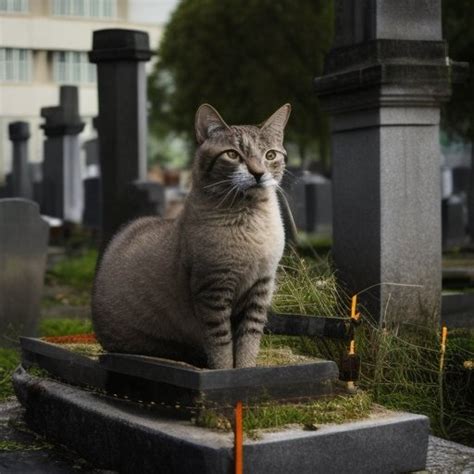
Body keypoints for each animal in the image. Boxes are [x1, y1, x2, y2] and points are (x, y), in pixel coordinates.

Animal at [90, 103, 290, 370]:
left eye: (270, 155)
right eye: (233, 154)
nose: (258, 173)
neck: (250, 218)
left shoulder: (260, 288)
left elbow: (249, 339)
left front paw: (245, 369)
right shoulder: (212, 289)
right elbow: (221, 342)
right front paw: (224, 371)